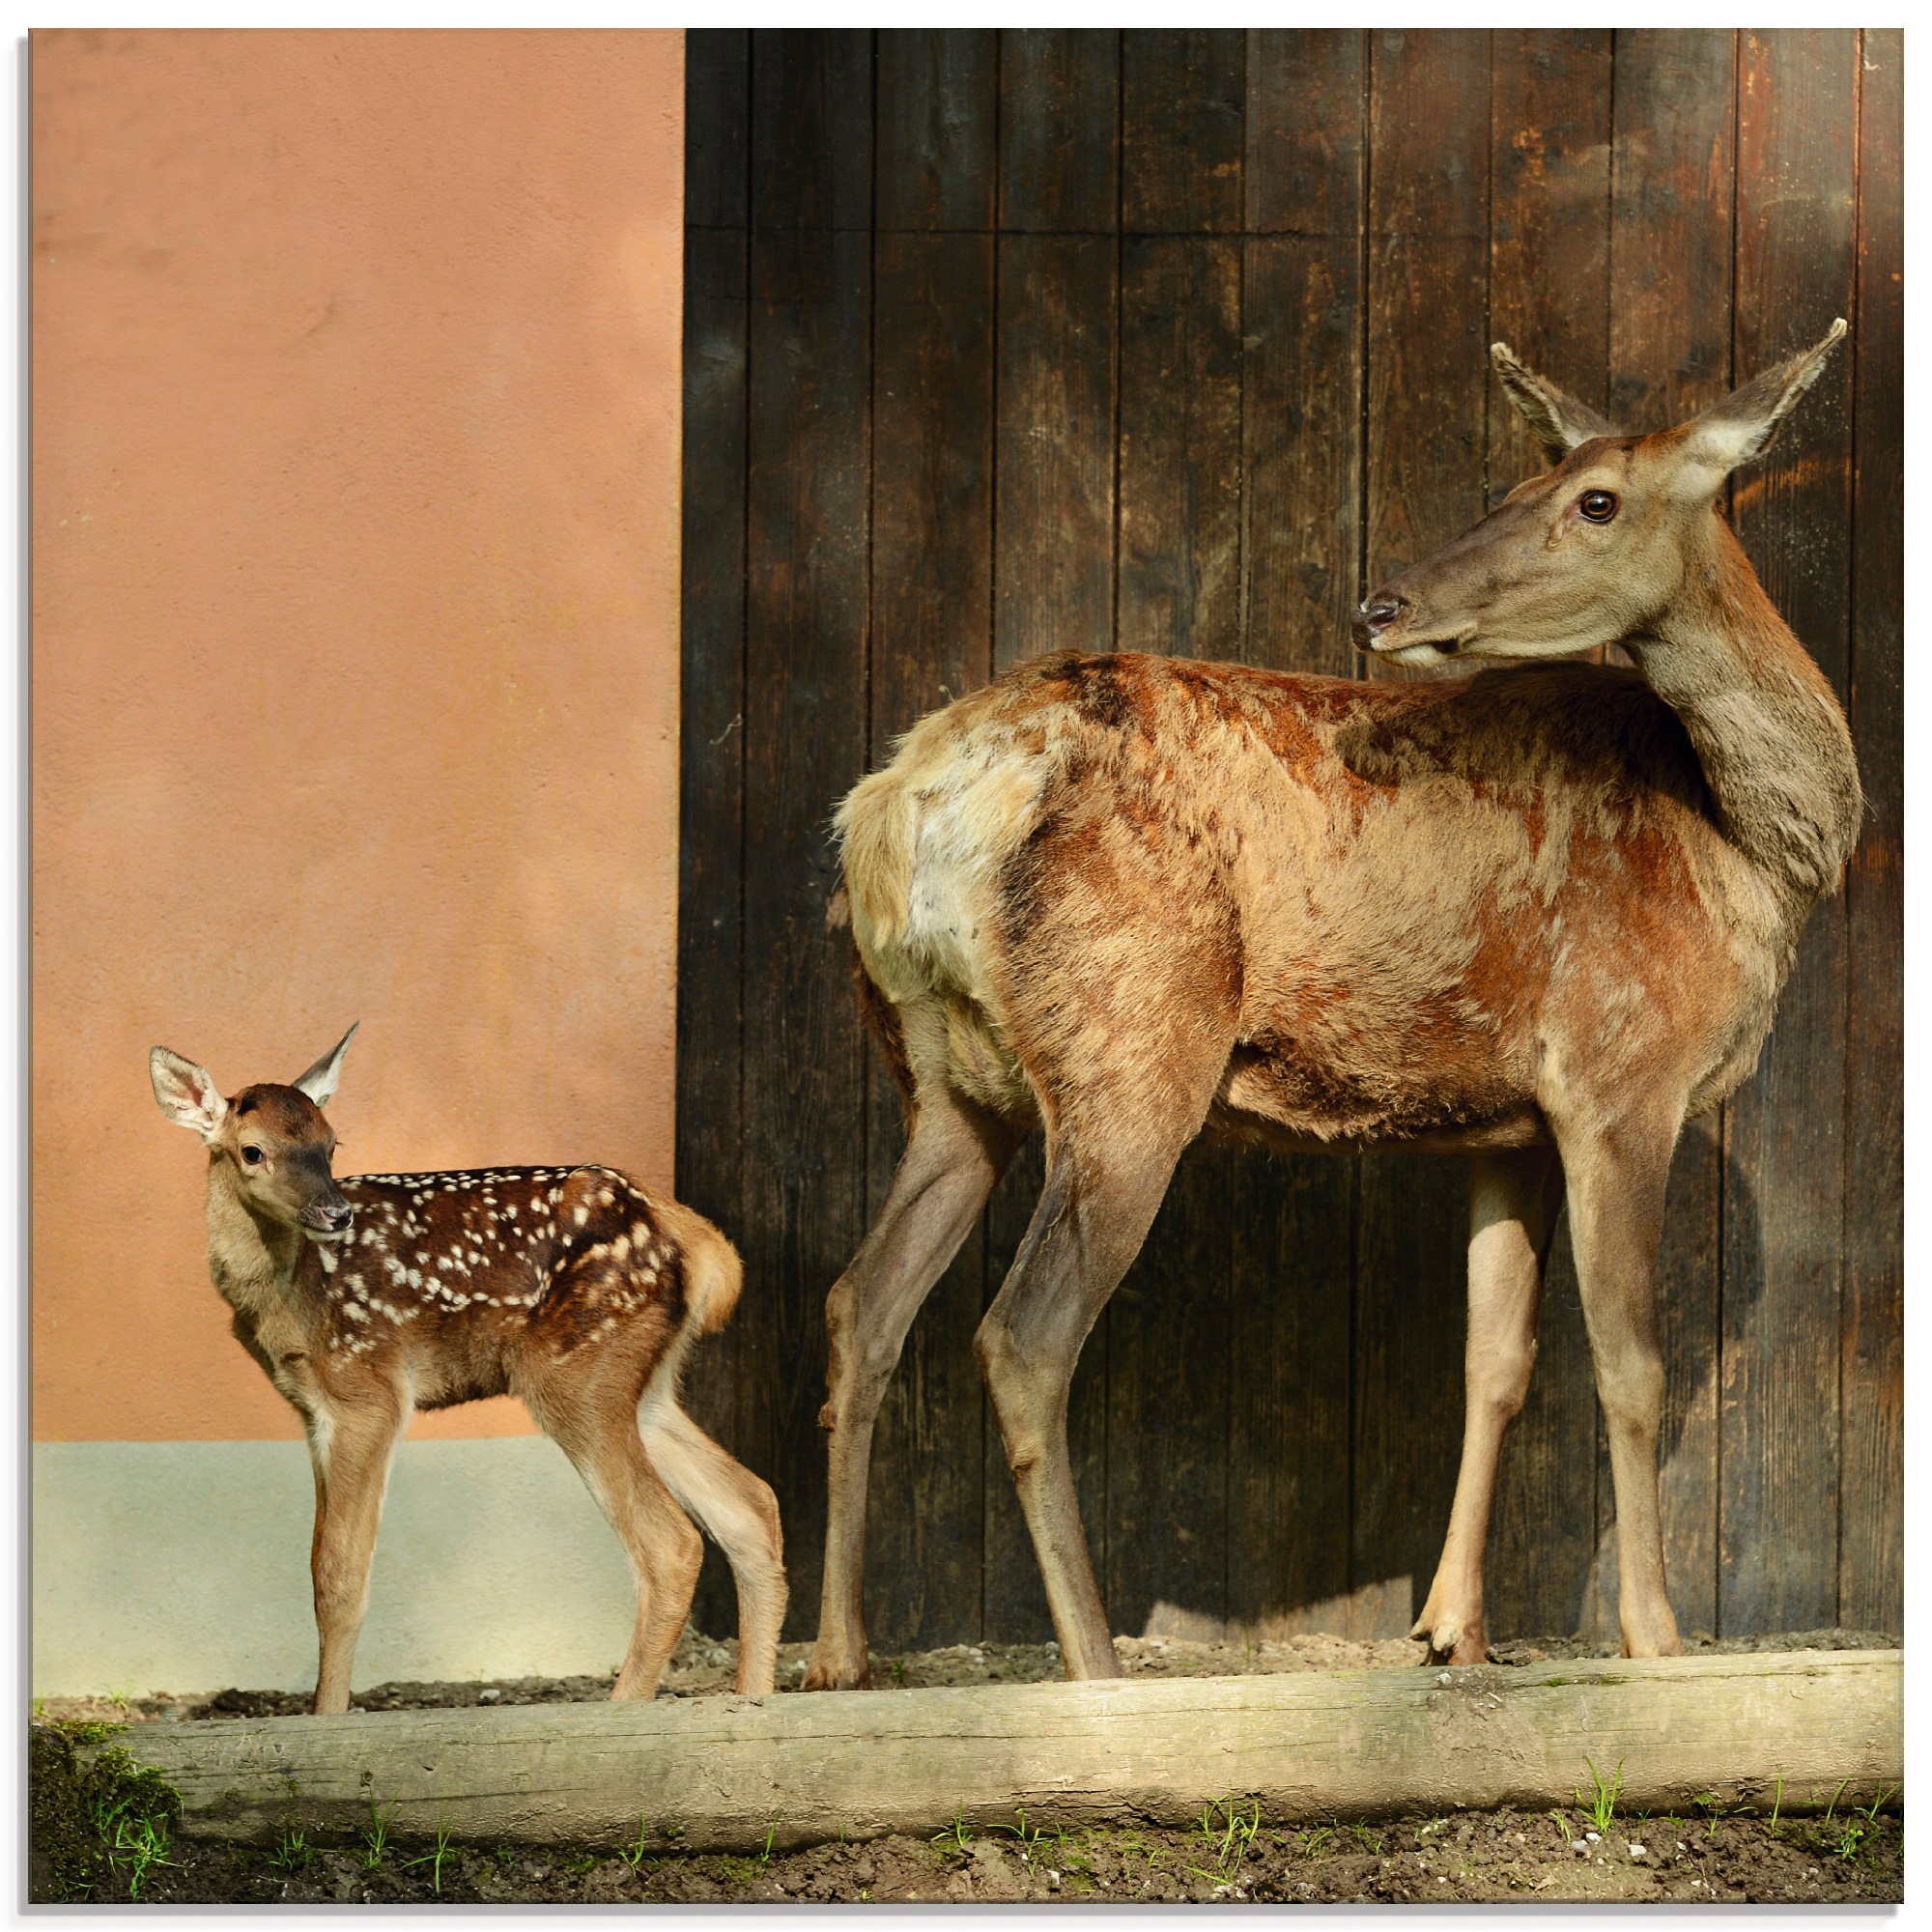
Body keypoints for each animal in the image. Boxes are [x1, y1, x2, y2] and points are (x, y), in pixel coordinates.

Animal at [150, 1025, 786, 1714]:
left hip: (577, 1370)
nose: (335, 1213)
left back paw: (623, 1707)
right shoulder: (310, 1406)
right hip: (643, 1383)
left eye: (330, 1142)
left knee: (673, 1543)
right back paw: (753, 1702)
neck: (291, 1294)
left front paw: (326, 1718)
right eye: (253, 1151)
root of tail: (695, 1241)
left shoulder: (368, 1387)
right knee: (751, 1504)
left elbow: (339, 1577)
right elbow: (321, 1564)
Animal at [803, 320, 1860, 1690]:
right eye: (1525, 480)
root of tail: (905, 802)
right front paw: (1654, 1637)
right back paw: (1090, 1662)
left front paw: (1451, 1629)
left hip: (941, 1073)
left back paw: (829, 1652)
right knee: (1022, 1333)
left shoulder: (1510, 1117)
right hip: (1129, 1043)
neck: (1745, 854)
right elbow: (1629, 1362)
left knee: (863, 1301)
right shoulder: (1619, 1072)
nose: (1383, 600)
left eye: (1589, 495)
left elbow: (1495, 1361)